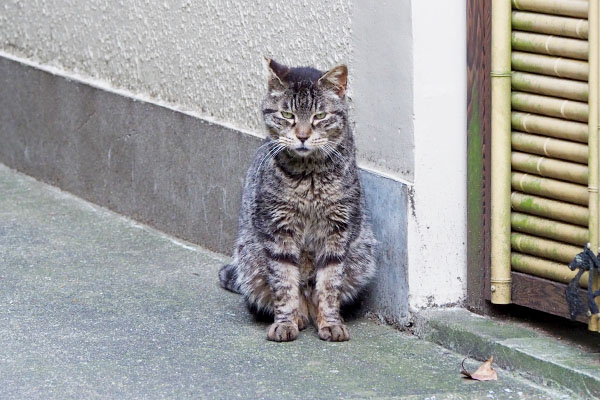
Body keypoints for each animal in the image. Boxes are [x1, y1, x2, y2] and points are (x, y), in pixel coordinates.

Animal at [218, 58, 378, 340]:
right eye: (287, 115)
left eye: (320, 116)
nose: (303, 136)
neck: (309, 177)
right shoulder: (278, 228)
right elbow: (284, 283)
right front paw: (286, 322)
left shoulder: (337, 229)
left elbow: (329, 285)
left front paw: (331, 323)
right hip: (249, 258)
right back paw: (300, 317)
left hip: (363, 255)